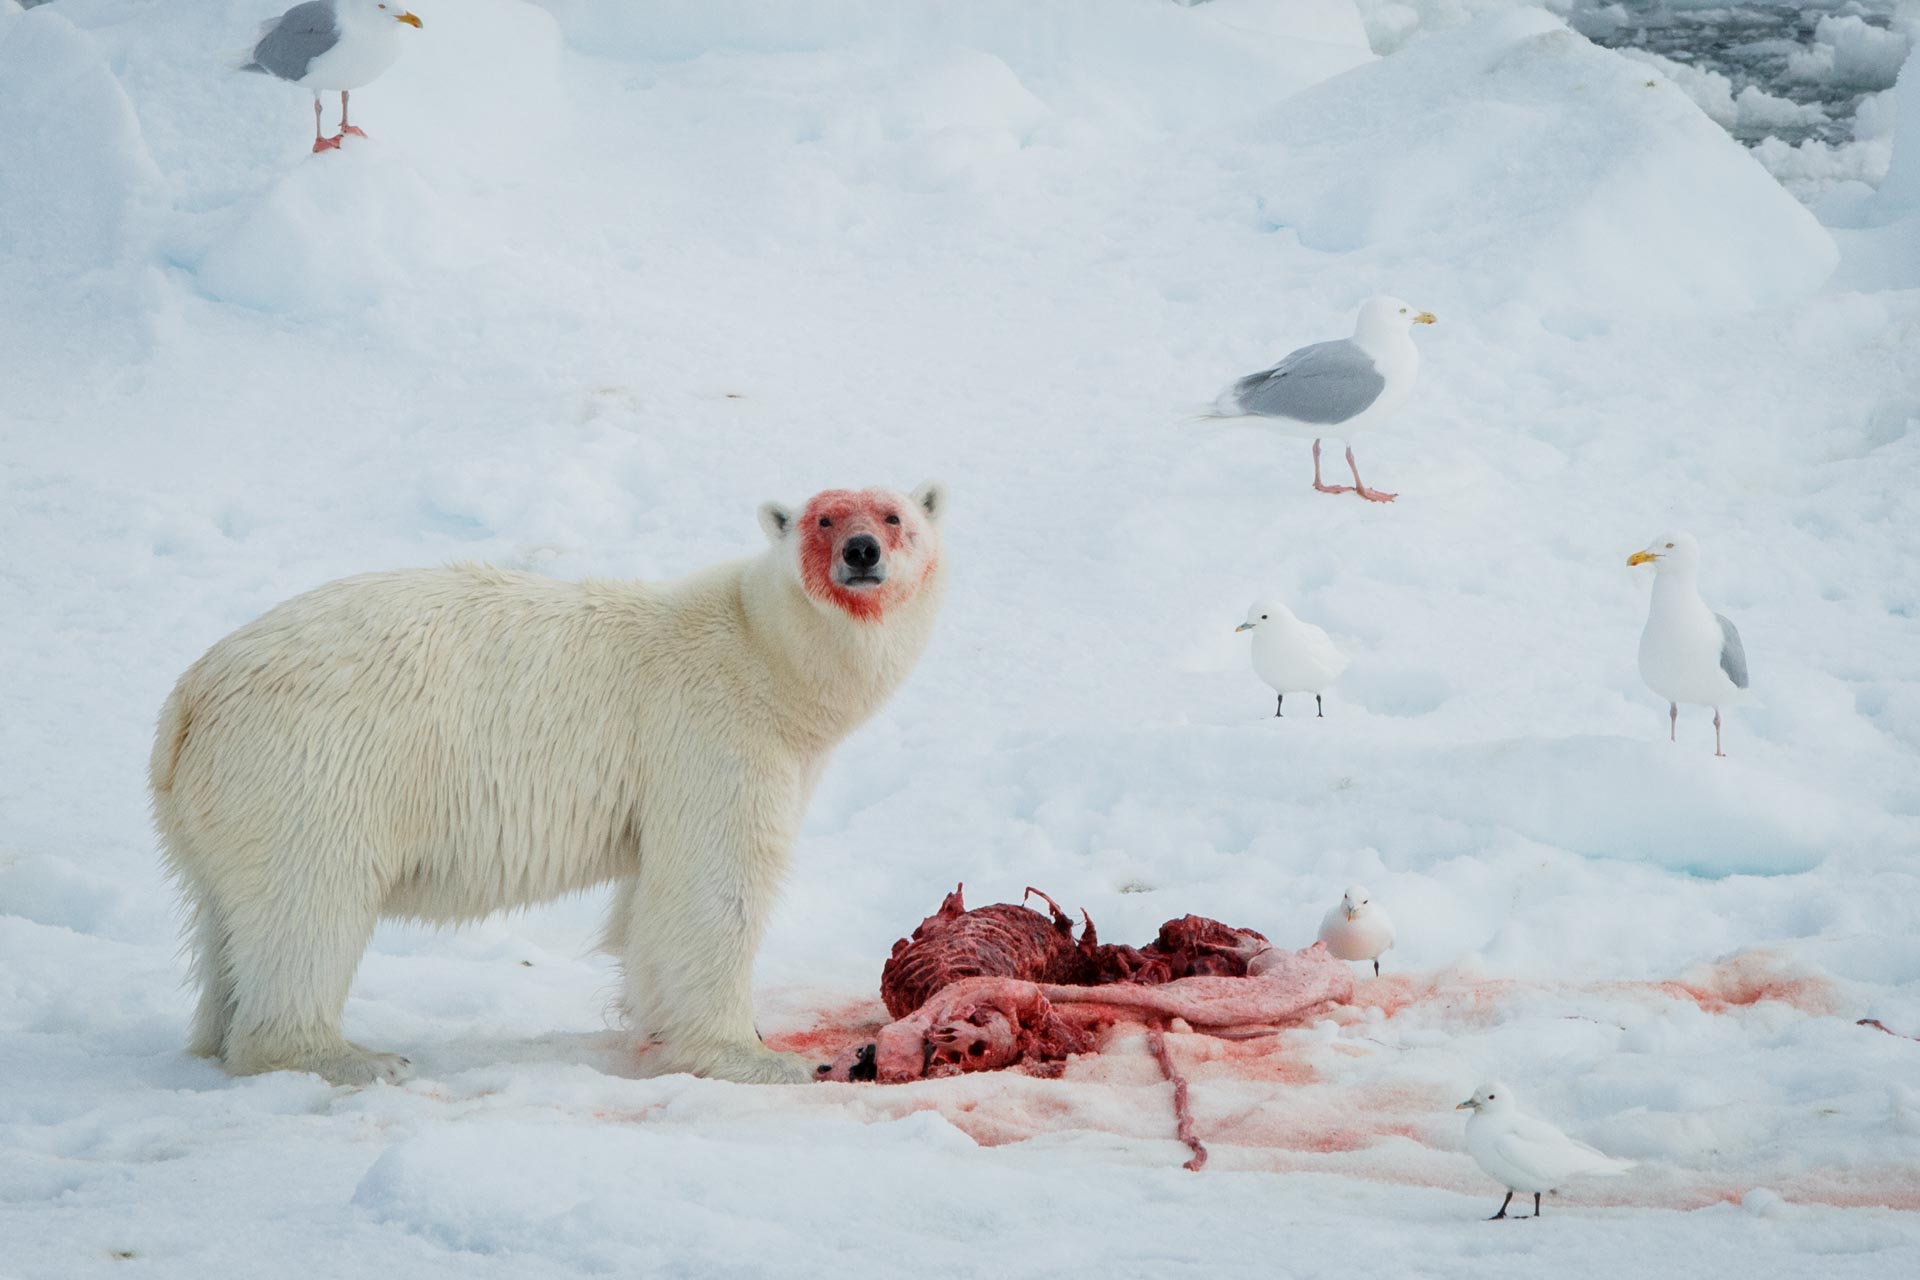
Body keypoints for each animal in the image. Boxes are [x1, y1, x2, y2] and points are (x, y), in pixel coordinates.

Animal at [148, 481, 947, 1086]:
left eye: (893, 516)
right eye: (824, 518)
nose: (862, 552)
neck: (766, 657)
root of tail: (192, 695)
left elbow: (650, 904)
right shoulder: (710, 734)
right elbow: (713, 885)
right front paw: (754, 1055)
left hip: (222, 801)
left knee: (226, 918)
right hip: (312, 768)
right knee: (309, 904)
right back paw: (352, 1057)